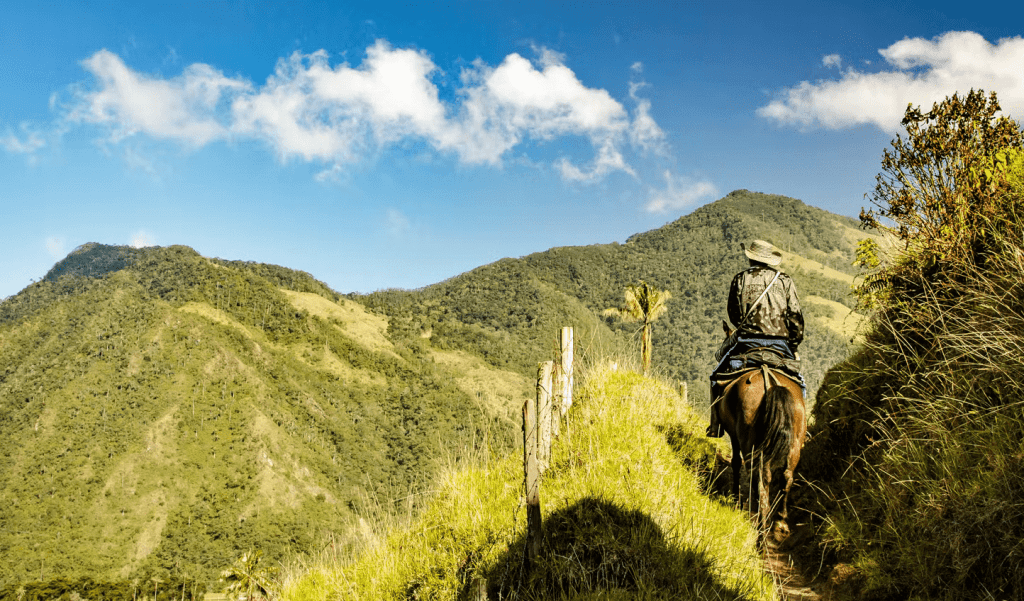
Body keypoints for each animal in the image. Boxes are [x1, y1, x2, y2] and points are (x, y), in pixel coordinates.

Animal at [712, 323, 806, 540]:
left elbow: (735, 463)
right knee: (786, 477)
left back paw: (760, 528)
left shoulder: (735, 436)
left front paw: (735, 497)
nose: (718, 354)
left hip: (751, 444)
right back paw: (779, 523)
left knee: (761, 481)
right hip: (794, 444)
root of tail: (769, 382)